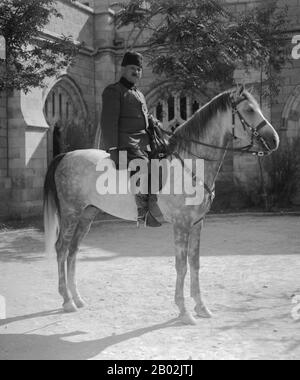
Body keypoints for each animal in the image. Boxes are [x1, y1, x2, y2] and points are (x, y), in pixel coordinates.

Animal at [44, 85, 278, 324]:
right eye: (249, 110)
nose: (275, 140)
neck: (190, 165)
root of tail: (66, 155)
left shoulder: (197, 224)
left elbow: (194, 263)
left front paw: (201, 306)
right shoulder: (181, 225)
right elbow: (181, 266)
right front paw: (184, 311)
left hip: (87, 215)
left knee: (73, 251)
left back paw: (77, 298)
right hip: (71, 213)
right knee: (61, 248)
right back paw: (67, 300)